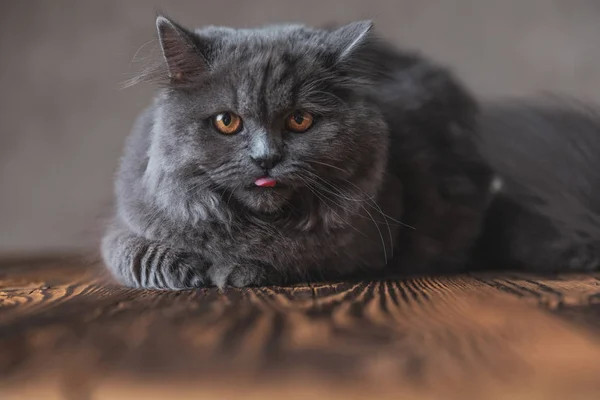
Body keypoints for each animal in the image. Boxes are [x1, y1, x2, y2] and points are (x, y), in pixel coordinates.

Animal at [102, 16, 496, 290]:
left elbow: (294, 253)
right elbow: (131, 251)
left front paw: (236, 270)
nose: (266, 158)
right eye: (227, 121)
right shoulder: (125, 223)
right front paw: (189, 269)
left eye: (300, 120)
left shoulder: (361, 244)